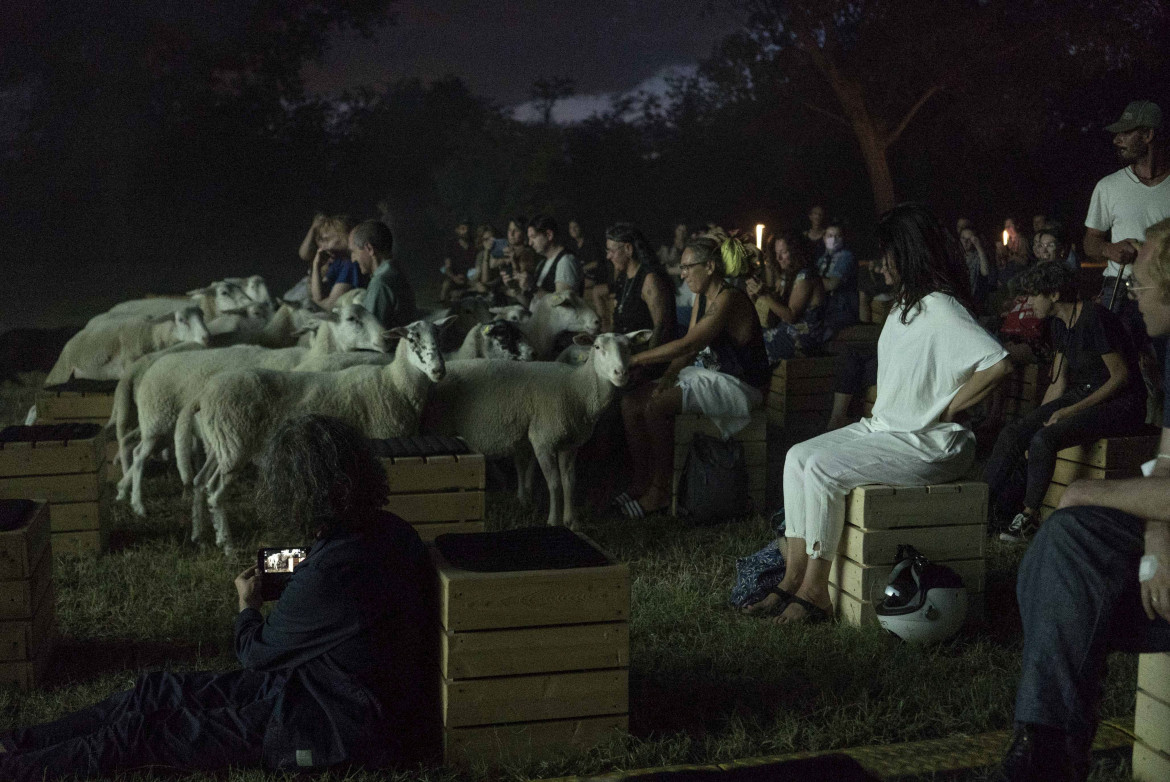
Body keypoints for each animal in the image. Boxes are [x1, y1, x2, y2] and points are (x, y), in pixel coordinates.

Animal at [46, 309, 210, 386]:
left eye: (202, 315)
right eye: (181, 320)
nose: (206, 337)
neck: (152, 332)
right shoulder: (128, 362)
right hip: (60, 372)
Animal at [121, 302, 390, 512]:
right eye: (352, 319)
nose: (385, 339)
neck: (313, 356)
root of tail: (149, 364)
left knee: (135, 448)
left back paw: (125, 492)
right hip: (157, 419)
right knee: (139, 454)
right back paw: (137, 503)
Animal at [428, 330, 650, 531]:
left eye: (629, 347)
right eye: (597, 347)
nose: (620, 373)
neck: (577, 388)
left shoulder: (570, 444)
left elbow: (569, 482)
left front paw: (572, 522)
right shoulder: (543, 441)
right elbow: (554, 484)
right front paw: (553, 521)